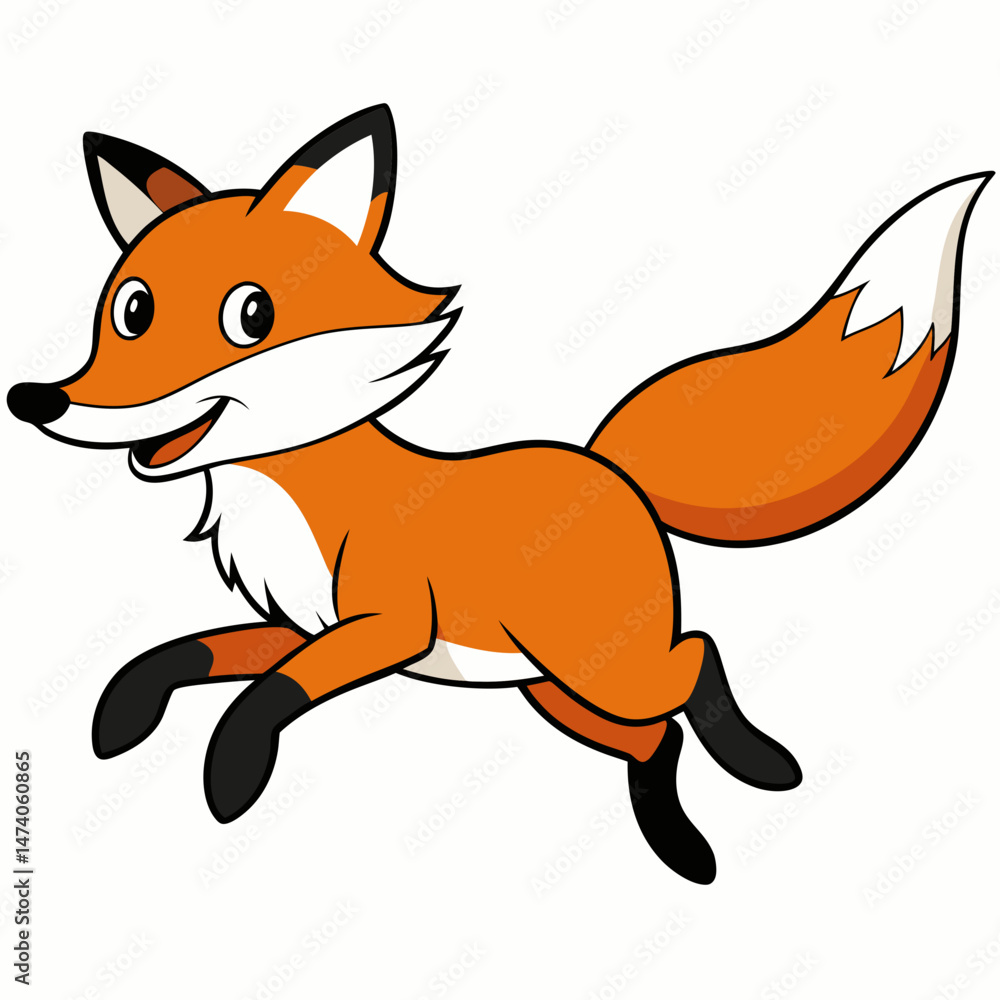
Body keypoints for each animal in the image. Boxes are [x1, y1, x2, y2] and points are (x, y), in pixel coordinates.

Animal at [7, 105, 990, 884]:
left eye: (250, 316)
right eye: (129, 312)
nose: (37, 401)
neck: (292, 497)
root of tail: (609, 468)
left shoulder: (389, 626)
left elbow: (271, 693)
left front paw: (232, 772)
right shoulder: (303, 623)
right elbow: (192, 652)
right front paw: (124, 712)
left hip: (599, 668)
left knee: (697, 658)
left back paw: (755, 761)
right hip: (551, 690)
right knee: (655, 738)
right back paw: (679, 844)